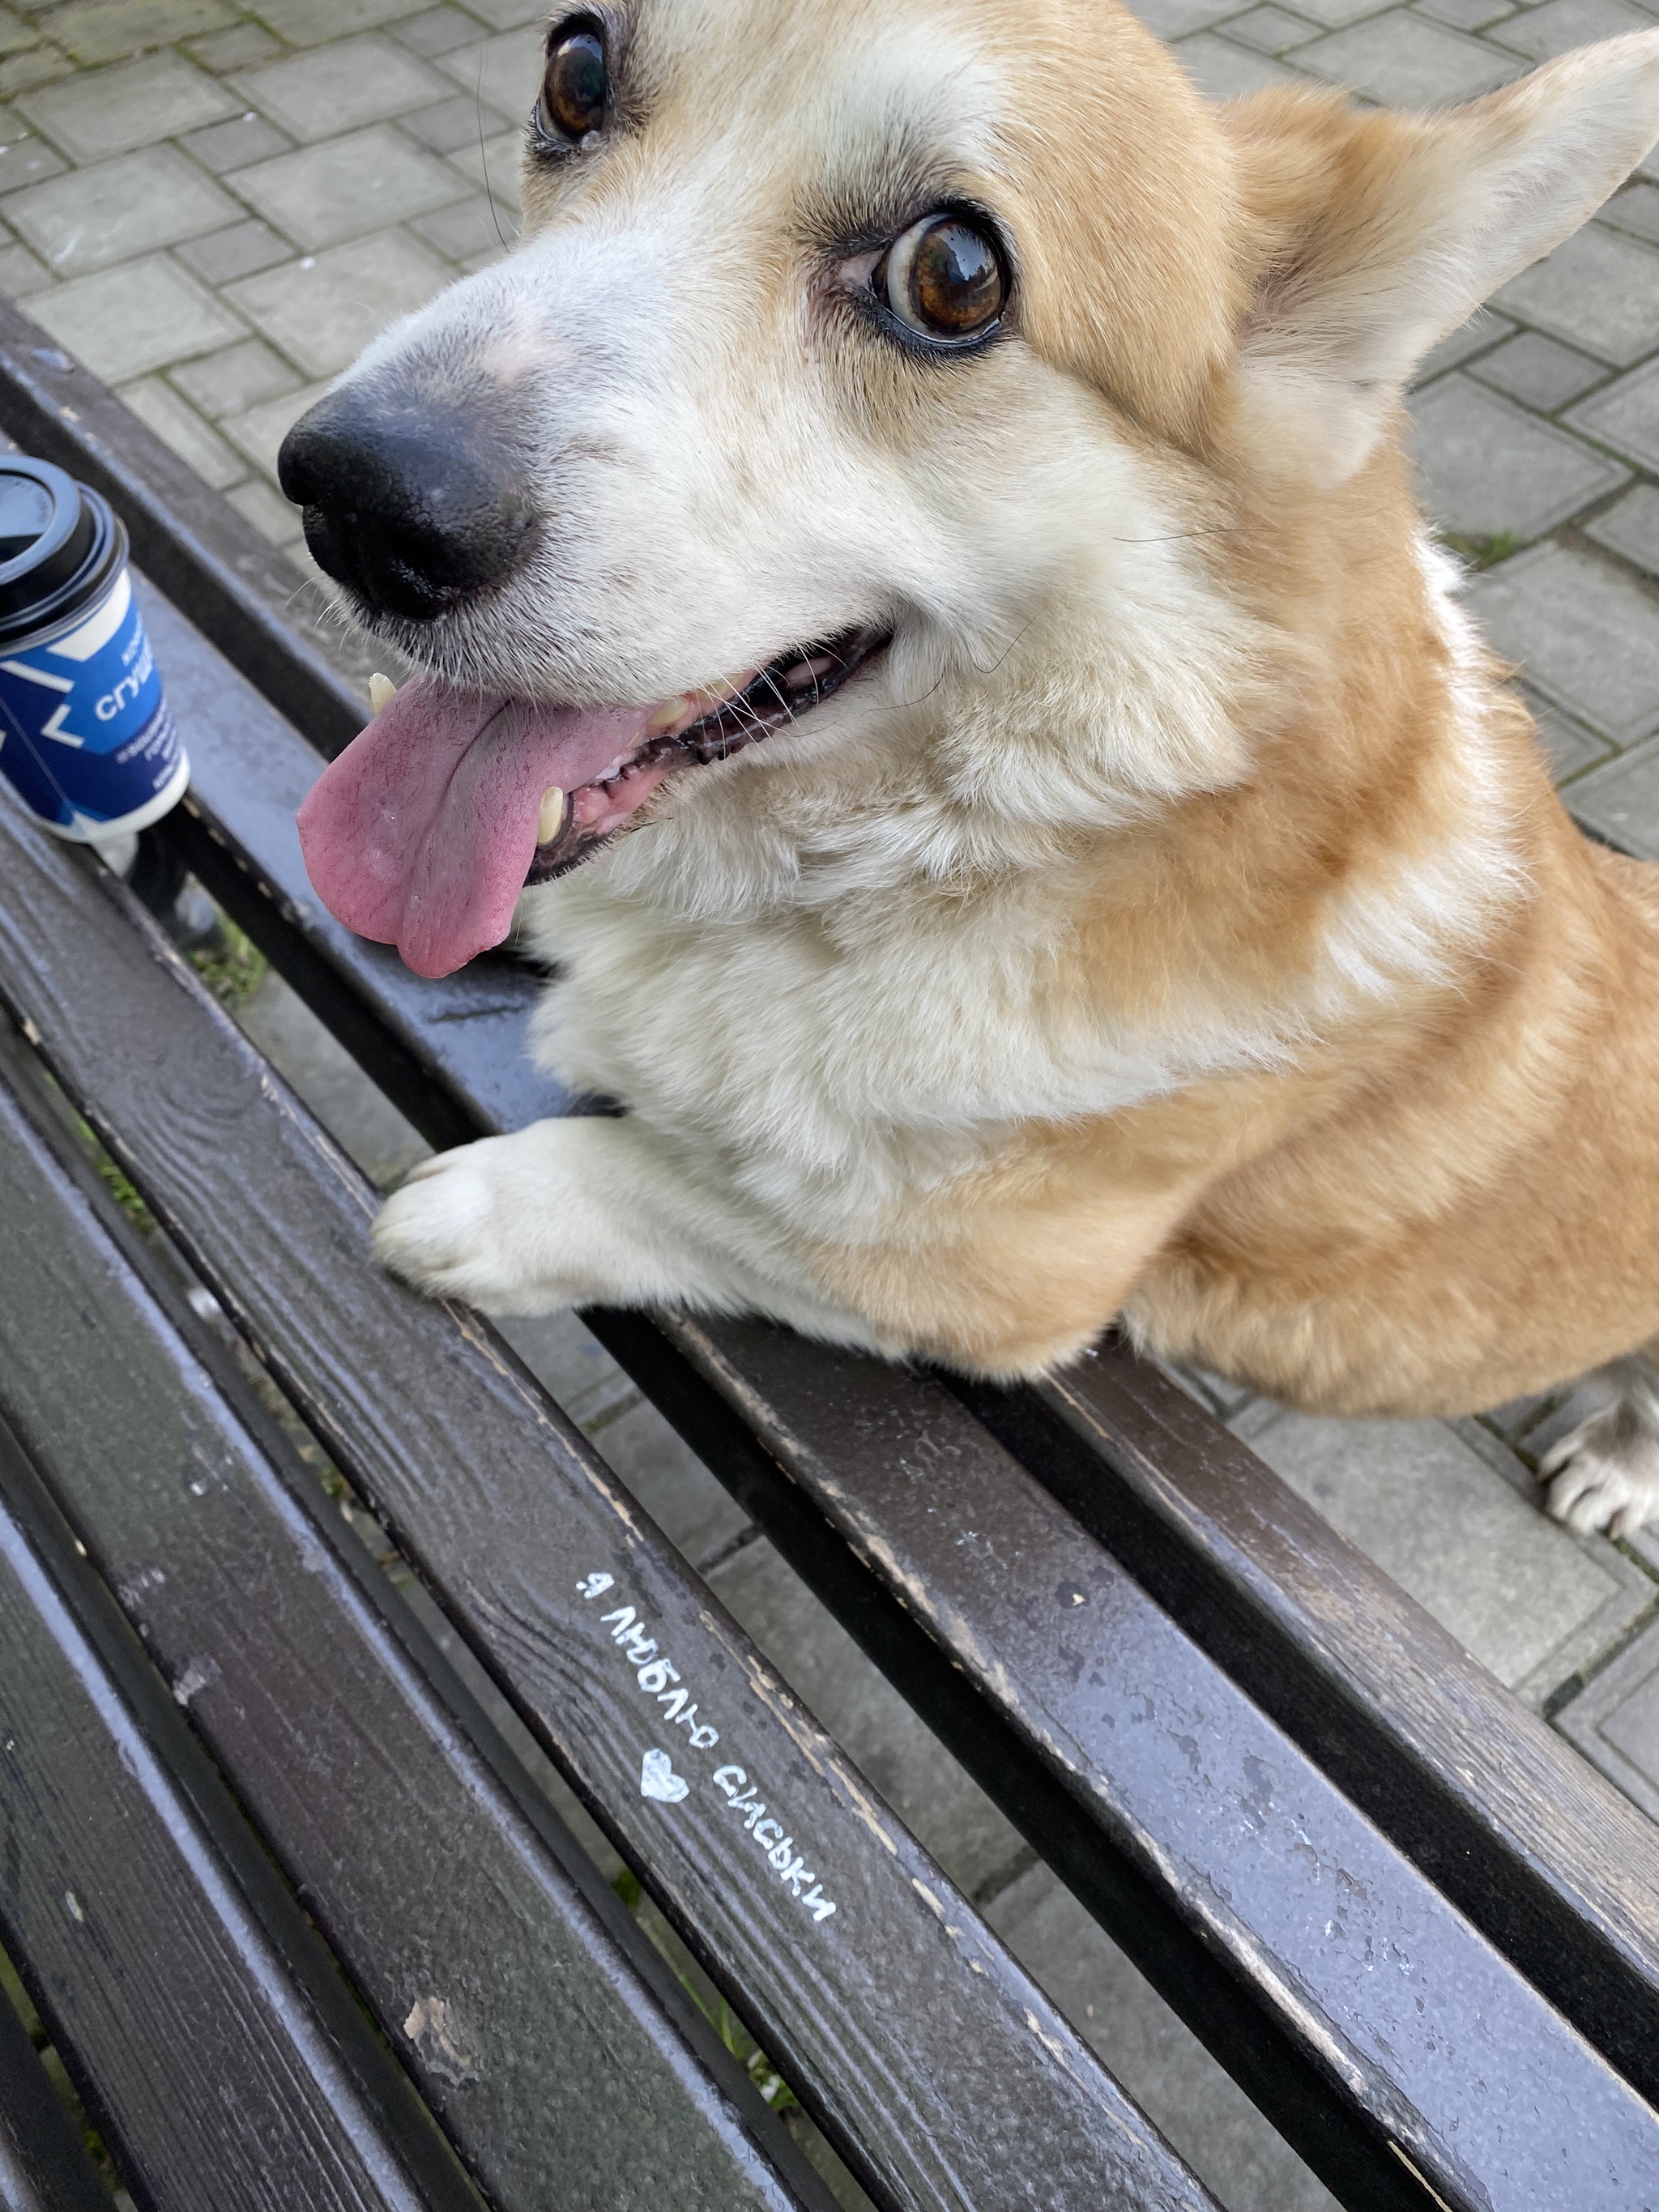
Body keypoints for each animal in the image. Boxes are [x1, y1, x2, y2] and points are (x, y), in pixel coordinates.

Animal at [279, 4, 1659, 1539]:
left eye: (953, 278)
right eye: (575, 70)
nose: (354, 503)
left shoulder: (980, 1289)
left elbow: (659, 1179)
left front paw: (477, 1210)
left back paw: (1617, 1463)